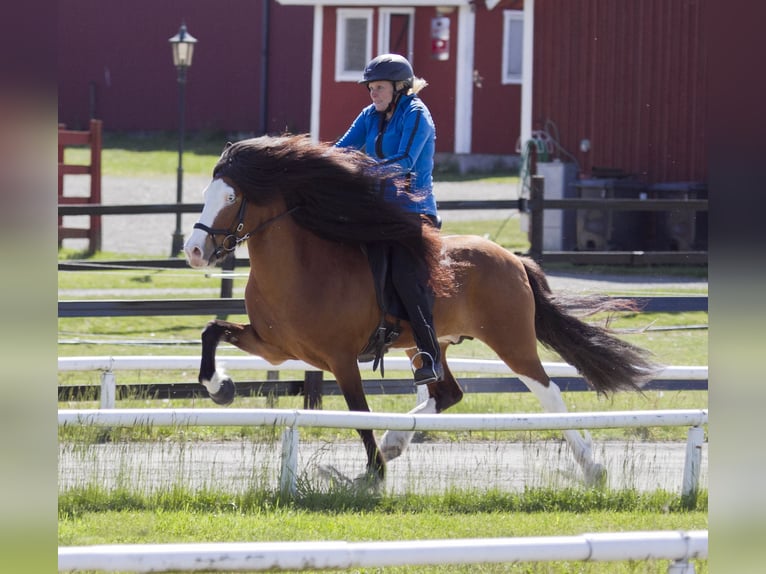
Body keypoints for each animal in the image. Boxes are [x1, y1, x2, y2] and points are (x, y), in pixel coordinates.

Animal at [183, 134, 659, 485]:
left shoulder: (340, 360)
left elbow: (359, 414)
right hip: (429, 344)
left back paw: (593, 467)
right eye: (205, 194)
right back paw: (397, 438)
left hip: (511, 340)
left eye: (230, 198)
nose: (193, 251)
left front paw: (373, 475)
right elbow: (210, 330)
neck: (301, 267)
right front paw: (220, 387)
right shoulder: (274, 347)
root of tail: (513, 258)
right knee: (446, 392)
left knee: (548, 391)